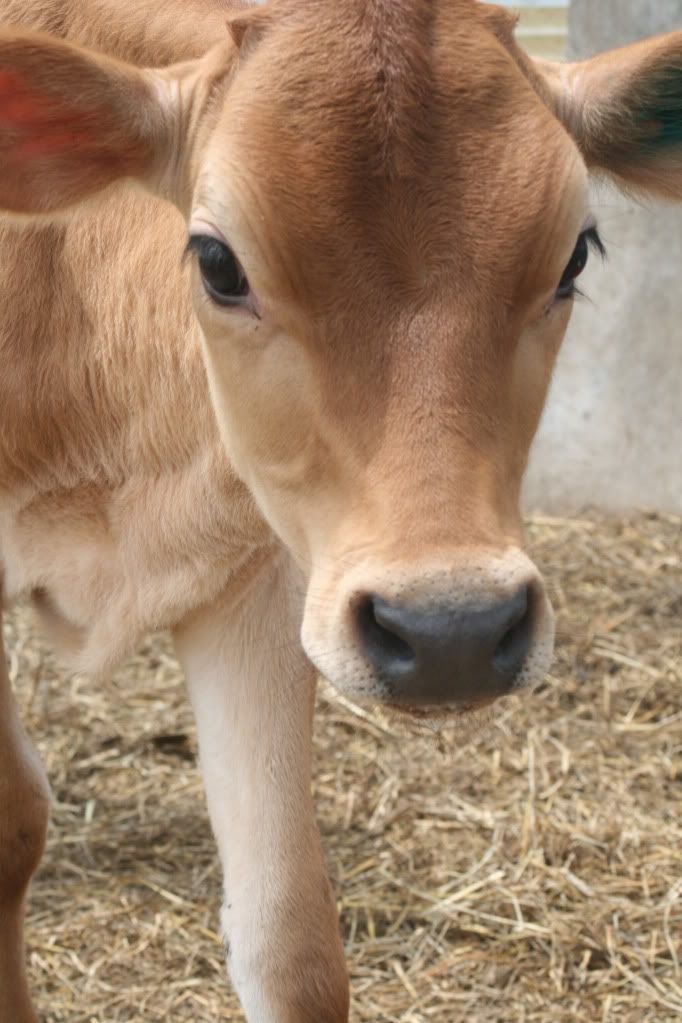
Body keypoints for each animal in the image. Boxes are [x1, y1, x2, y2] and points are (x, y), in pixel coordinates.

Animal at [1, 1, 681, 1020]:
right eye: (217, 262)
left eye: (575, 254)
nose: (453, 630)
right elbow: (13, 822)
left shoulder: (269, 572)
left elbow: (291, 936)